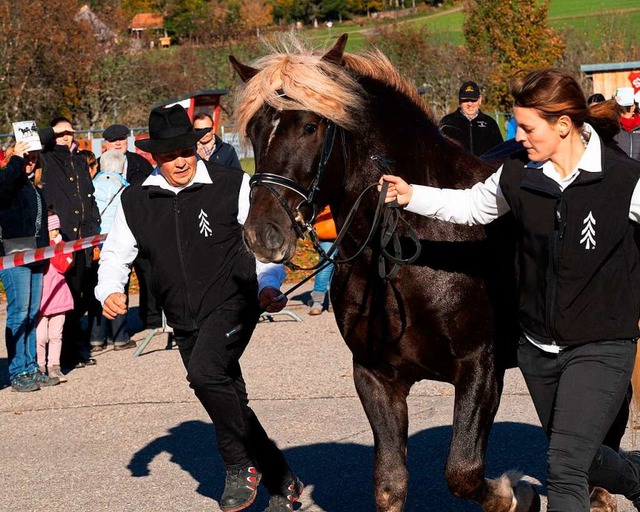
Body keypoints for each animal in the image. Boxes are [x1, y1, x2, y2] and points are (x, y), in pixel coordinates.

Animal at [230, 34, 616, 510]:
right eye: (253, 130)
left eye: (310, 126)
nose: (263, 234)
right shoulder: (375, 376)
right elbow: (390, 484)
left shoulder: (480, 369)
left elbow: (463, 472)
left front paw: (516, 494)